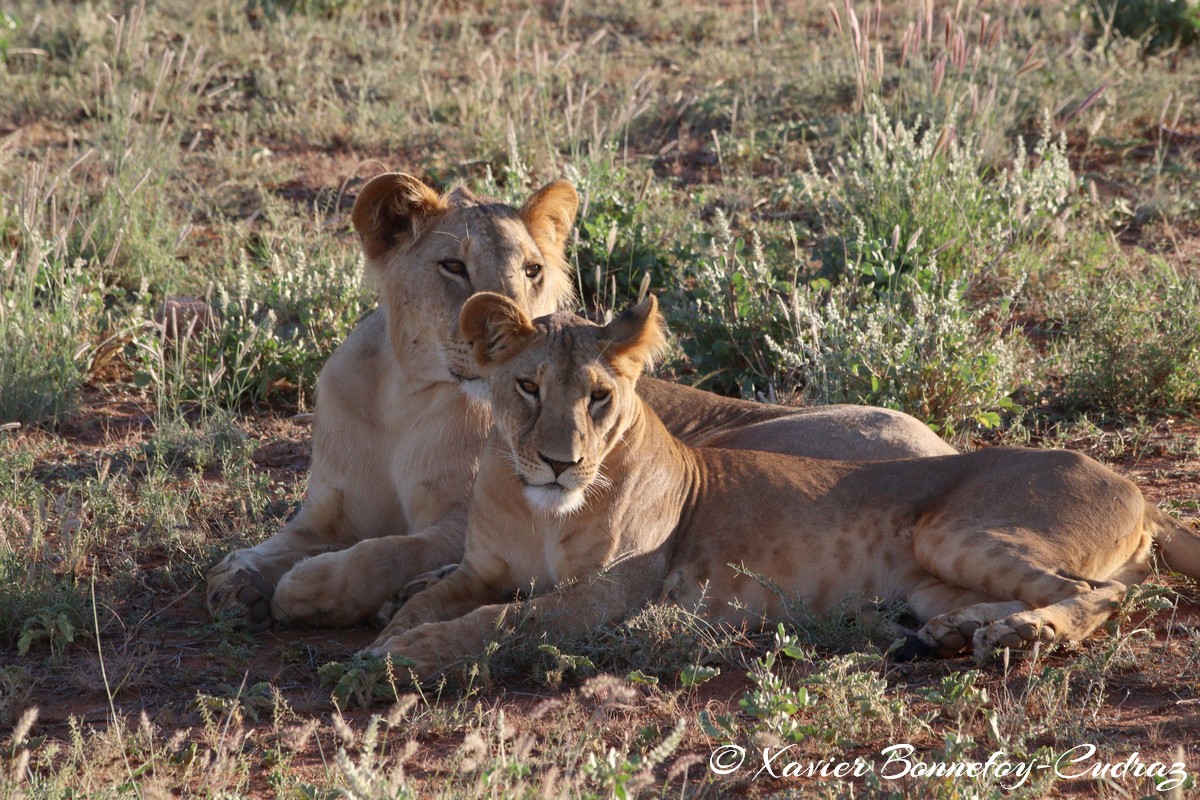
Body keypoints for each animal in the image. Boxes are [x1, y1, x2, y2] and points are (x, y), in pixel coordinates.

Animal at [208, 172, 955, 628]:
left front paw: (311, 589)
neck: (407, 399)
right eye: (453, 267)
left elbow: (385, 549)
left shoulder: (467, 513)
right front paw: (238, 576)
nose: (518, 320)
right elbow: (273, 545)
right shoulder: (326, 509)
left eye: (532, 269)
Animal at [364, 293, 1200, 676]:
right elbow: (434, 600)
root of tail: (1139, 489)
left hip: (955, 531)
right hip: (932, 575)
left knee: (1102, 593)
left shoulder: (609, 594)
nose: (561, 461)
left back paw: (1025, 636)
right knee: (1033, 593)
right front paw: (387, 636)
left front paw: (398, 657)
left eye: (599, 397)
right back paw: (961, 633)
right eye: (529, 387)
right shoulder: (481, 568)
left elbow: (502, 621)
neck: (538, 508)